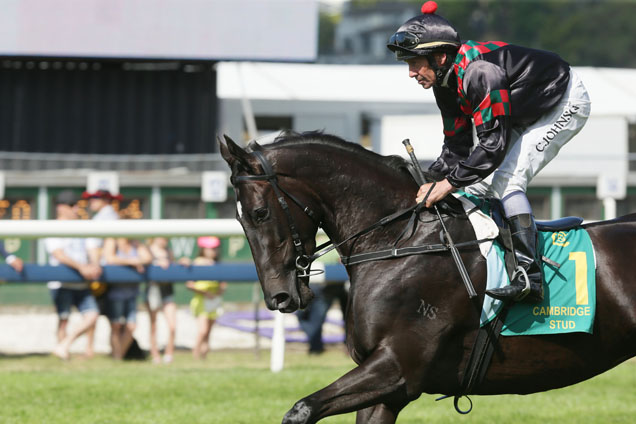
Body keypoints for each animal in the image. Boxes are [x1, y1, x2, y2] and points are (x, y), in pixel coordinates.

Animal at [220, 132, 636, 424]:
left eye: (258, 213)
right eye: (238, 217)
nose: (279, 297)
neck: (400, 239)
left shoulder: (398, 367)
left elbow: (301, 409)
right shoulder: (385, 391)